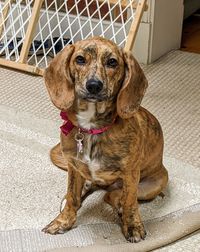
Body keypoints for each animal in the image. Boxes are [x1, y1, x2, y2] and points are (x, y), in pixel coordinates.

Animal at [42, 37, 169, 242]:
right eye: (79, 59)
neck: (91, 128)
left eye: (112, 62)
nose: (94, 85)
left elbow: (130, 202)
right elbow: (72, 197)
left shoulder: (130, 174)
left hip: (154, 183)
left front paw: (132, 226)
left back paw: (119, 206)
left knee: (114, 197)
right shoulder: (73, 168)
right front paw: (63, 221)